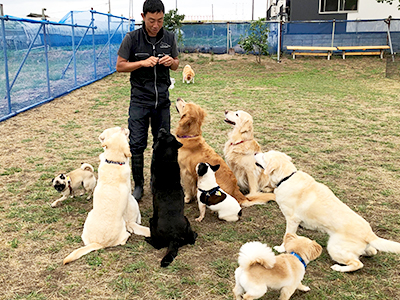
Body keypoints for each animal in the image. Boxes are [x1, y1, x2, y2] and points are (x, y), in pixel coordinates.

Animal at [62, 127, 150, 264]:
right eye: (120, 132)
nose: (123, 127)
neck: (113, 161)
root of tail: (99, 243)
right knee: (124, 238)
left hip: (88, 221)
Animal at [146, 128, 198, 268]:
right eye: (169, 134)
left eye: (163, 135)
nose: (162, 128)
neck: (166, 158)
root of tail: (174, 236)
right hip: (187, 222)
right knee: (191, 240)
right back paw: (195, 234)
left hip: (152, 223)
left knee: (157, 245)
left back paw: (147, 239)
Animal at [255, 150, 400, 272]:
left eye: (264, 156)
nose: (255, 153)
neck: (287, 177)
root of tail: (369, 234)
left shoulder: (292, 220)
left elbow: (286, 236)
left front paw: (281, 248)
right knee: (371, 252)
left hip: (334, 248)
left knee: (357, 264)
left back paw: (339, 268)